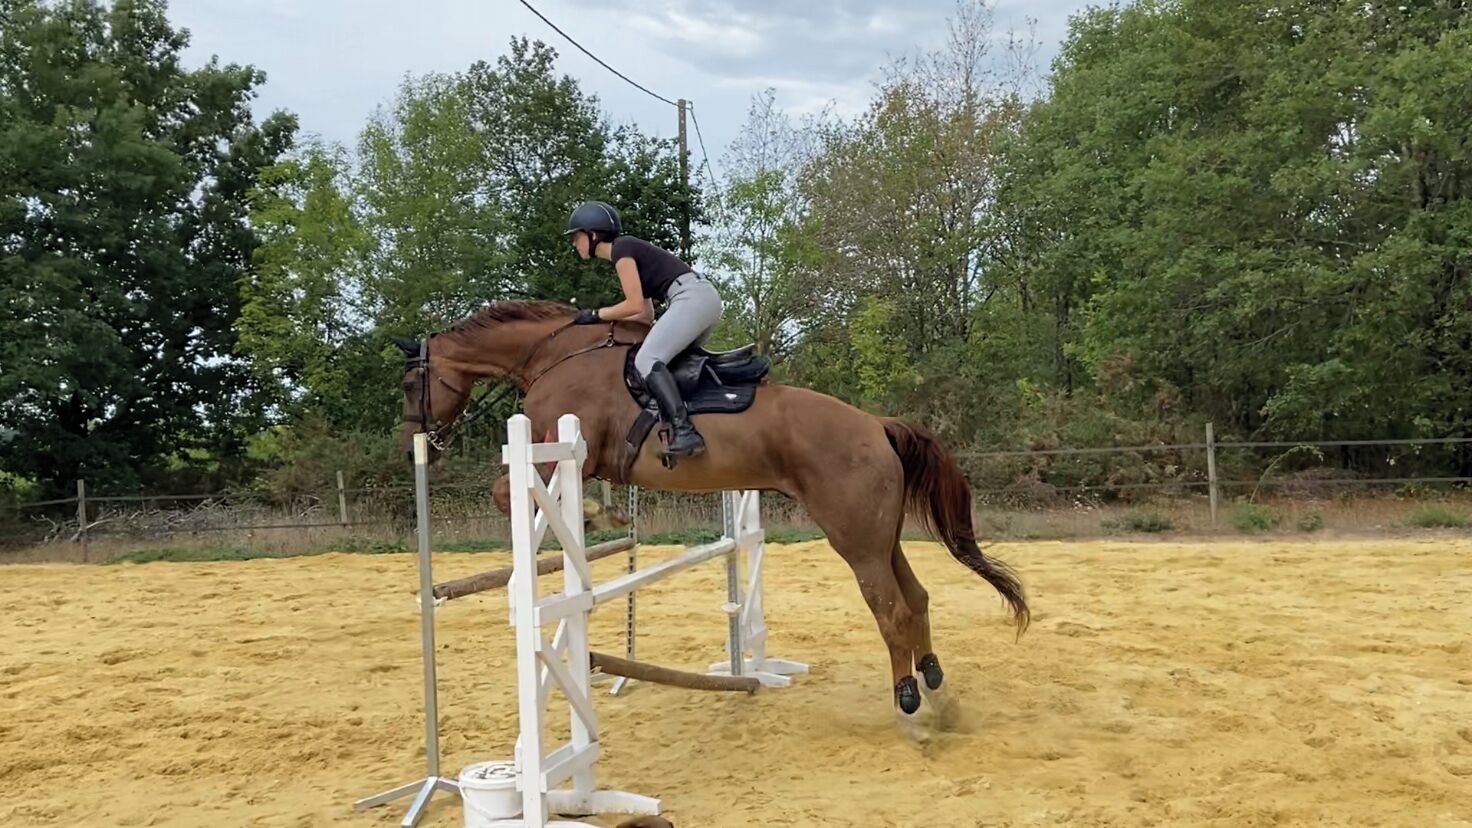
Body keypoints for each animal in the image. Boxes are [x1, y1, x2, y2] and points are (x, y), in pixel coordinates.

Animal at [394, 300, 1029, 740]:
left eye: (408, 383)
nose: (411, 448)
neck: (554, 356)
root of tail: (876, 424)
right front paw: (602, 513)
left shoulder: (560, 451)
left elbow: (506, 491)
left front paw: (594, 515)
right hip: (879, 535)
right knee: (916, 598)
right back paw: (937, 689)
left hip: (854, 537)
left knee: (891, 609)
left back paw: (909, 705)